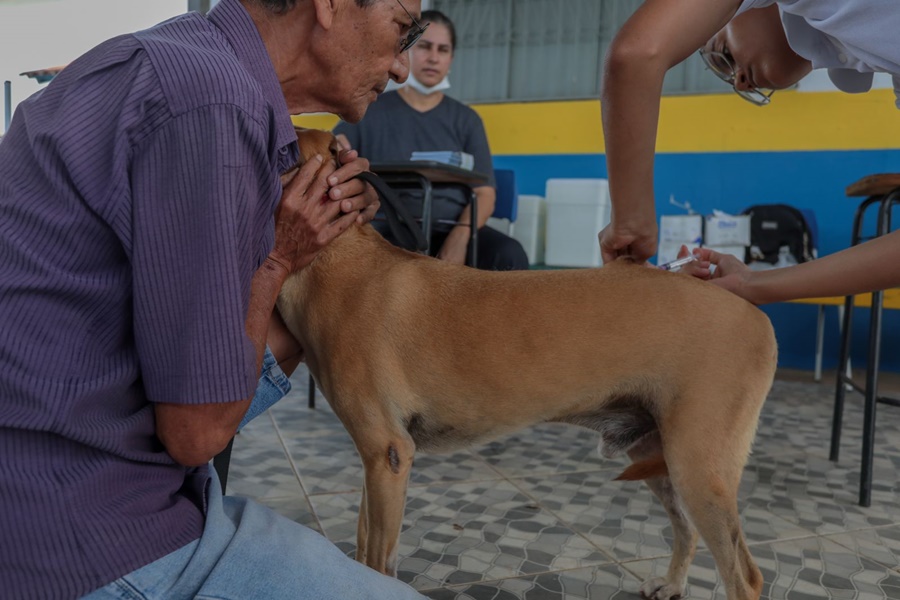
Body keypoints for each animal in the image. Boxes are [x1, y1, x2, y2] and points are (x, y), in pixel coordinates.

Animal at [278, 129, 776, 596]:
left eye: (286, 148)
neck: (336, 261)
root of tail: (754, 315)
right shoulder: (376, 460)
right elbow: (364, 543)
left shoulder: (387, 453)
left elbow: (376, 559)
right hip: (661, 456)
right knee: (686, 530)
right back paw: (672, 584)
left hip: (699, 466)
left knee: (744, 576)